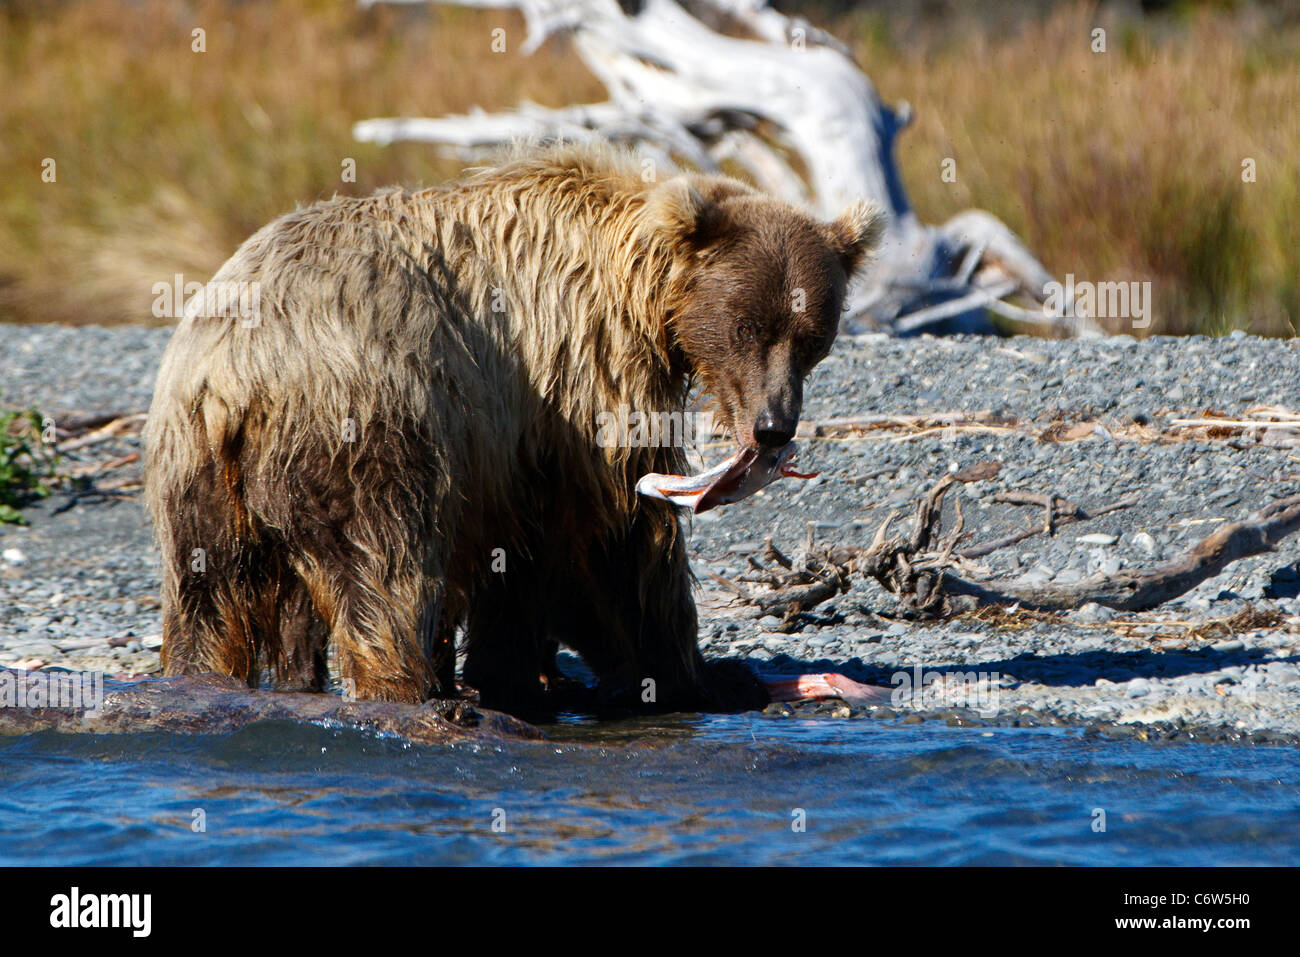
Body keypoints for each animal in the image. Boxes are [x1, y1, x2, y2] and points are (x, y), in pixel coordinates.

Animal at [147, 145, 889, 717]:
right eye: (747, 327)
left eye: (812, 336)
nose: (773, 427)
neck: (637, 290)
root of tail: (236, 376)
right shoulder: (572, 380)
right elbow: (615, 542)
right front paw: (695, 673)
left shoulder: (508, 446)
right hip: (369, 422)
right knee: (385, 565)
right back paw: (411, 690)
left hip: (199, 472)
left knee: (209, 595)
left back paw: (214, 680)